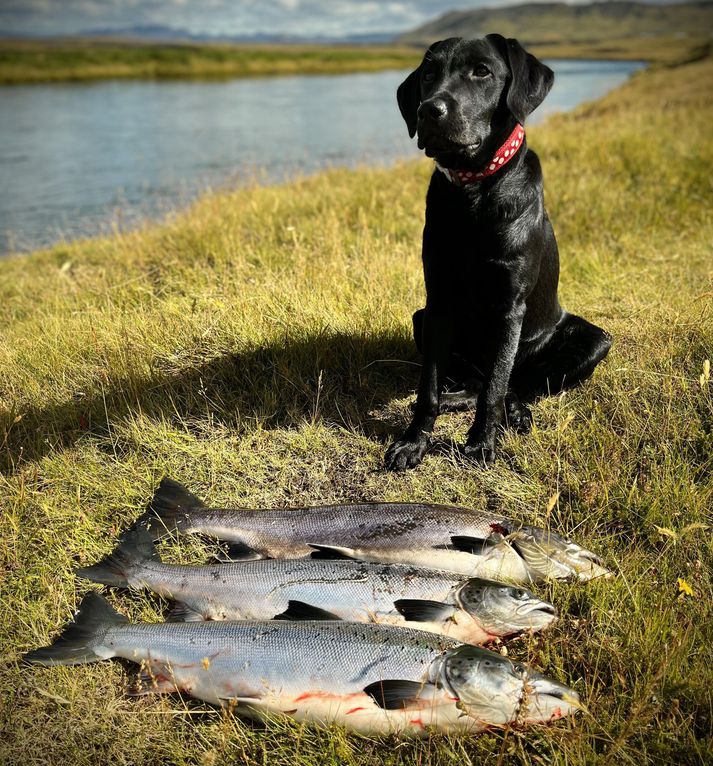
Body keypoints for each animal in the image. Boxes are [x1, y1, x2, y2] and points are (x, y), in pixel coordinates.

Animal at [384, 36, 612, 474]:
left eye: (482, 71)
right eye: (428, 74)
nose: (428, 110)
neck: (474, 192)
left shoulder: (510, 306)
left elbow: (495, 386)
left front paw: (480, 445)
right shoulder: (437, 302)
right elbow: (429, 388)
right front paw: (413, 442)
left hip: (595, 340)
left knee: (513, 384)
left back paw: (517, 412)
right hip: (421, 319)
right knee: (476, 383)